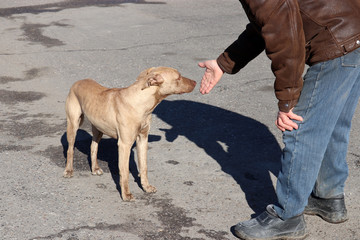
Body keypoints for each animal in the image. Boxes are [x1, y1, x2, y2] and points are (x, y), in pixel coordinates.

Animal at [63, 67, 195, 201]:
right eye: (179, 77)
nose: (195, 82)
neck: (140, 101)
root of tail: (78, 81)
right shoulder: (124, 145)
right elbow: (125, 171)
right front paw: (126, 194)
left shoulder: (143, 139)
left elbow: (144, 166)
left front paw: (146, 187)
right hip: (73, 124)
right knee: (70, 149)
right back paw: (68, 170)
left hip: (98, 127)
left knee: (93, 146)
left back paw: (95, 168)